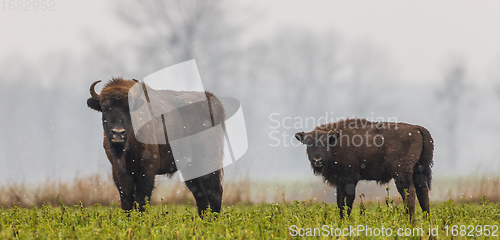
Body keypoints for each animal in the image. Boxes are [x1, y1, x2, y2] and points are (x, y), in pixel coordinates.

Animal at [87, 78, 225, 215]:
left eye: (129, 108)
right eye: (104, 108)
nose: (118, 133)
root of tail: (215, 102)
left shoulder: (147, 171)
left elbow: (141, 200)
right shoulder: (119, 172)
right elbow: (127, 201)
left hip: (208, 161)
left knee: (214, 191)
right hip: (189, 168)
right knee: (200, 195)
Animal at [294, 118, 432, 219]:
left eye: (325, 142)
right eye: (308, 143)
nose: (317, 160)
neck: (336, 143)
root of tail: (416, 128)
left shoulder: (349, 180)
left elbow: (347, 203)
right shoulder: (340, 183)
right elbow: (340, 203)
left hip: (401, 174)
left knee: (409, 194)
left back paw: (410, 221)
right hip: (418, 172)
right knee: (423, 195)